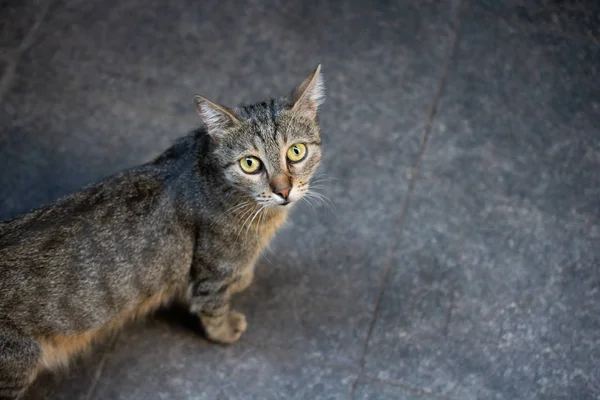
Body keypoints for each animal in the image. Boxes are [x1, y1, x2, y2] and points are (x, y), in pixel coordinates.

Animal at [0, 64, 324, 398]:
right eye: (250, 163)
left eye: (296, 152)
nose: (283, 191)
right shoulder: (211, 275)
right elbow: (213, 310)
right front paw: (226, 330)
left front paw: (243, 279)